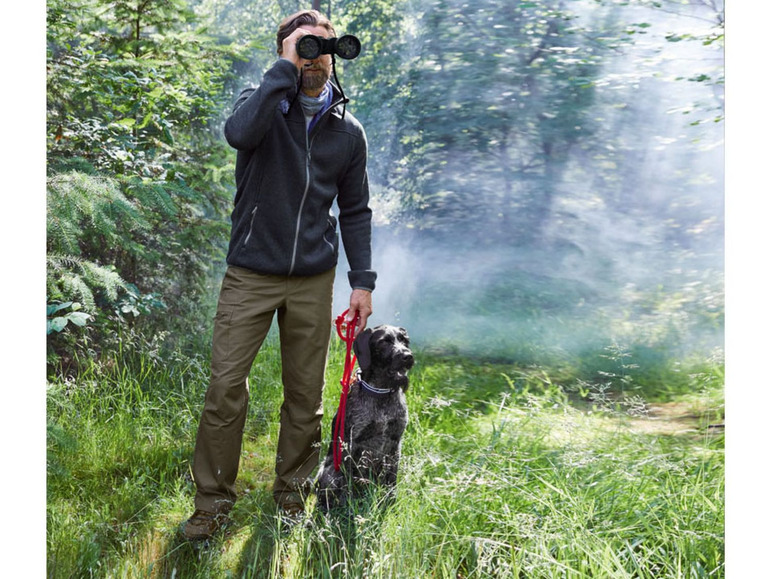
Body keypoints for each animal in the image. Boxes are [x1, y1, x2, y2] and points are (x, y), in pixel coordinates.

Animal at [314, 326, 414, 512]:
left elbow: (391, 479)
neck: (381, 393)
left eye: (404, 340)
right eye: (383, 342)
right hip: (329, 471)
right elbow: (346, 480)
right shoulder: (350, 443)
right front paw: (347, 507)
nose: (408, 356)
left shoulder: (395, 443)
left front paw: (390, 502)